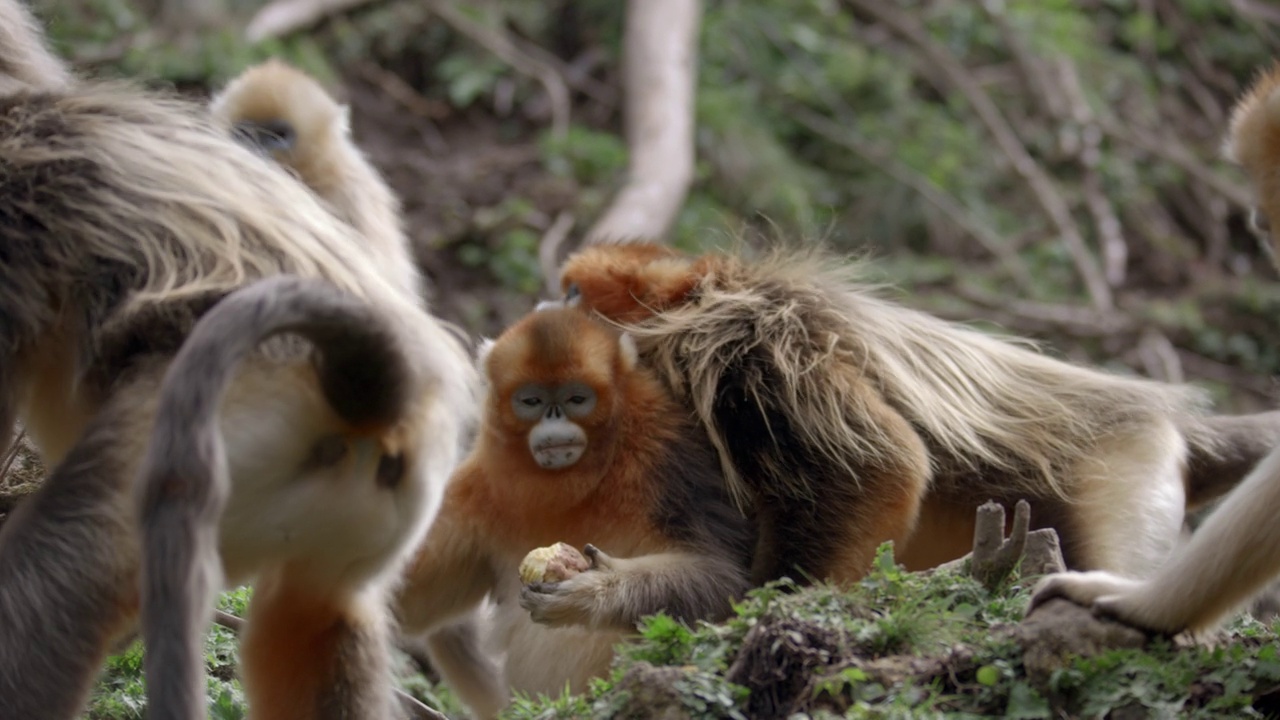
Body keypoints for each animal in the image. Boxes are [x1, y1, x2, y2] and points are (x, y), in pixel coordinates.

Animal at [555, 239, 1280, 584]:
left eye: (570, 294)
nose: (544, 304)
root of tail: (1173, 423)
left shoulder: (746, 345)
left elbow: (881, 468)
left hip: (1122, 470)